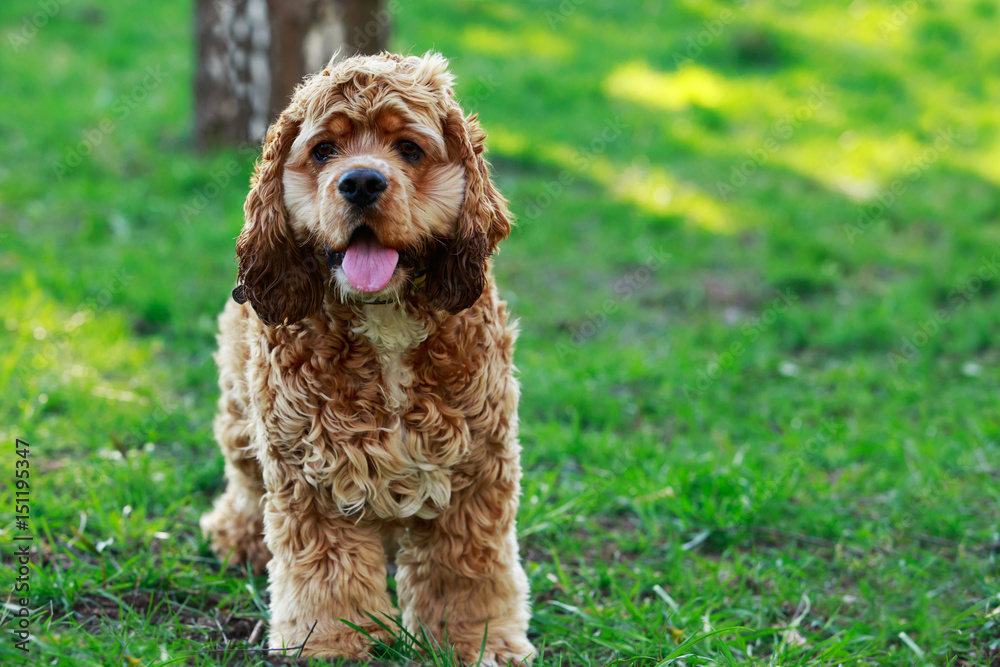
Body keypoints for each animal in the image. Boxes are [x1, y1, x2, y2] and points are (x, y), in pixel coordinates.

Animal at [198, 51, 536, 664]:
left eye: (410, 148)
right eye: (323, 151)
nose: (360, 181)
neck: (385, 319)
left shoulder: (477, 466)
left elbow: (467, 571)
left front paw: (476, 642)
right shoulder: (311, 473)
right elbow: (327, 579)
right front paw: (331, 645)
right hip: (241, 419)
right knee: (245, 481)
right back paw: (239, 537)